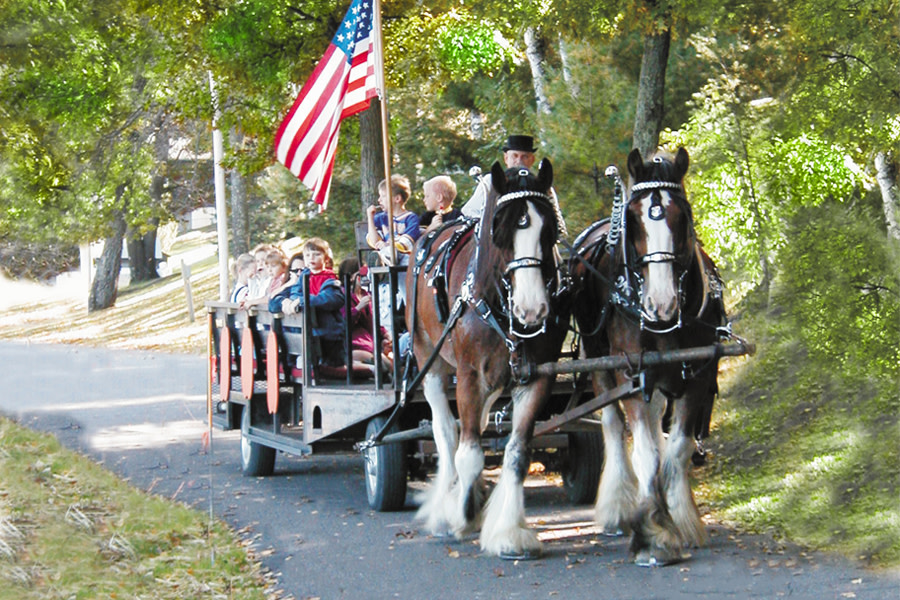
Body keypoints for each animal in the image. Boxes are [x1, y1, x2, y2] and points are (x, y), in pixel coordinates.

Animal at [408, 159, 568, 556]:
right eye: (501, 229)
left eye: (550, 229)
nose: (532, 309)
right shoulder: (469, 375)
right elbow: (467, 450)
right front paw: (460, 516)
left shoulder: (536, 376)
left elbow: (517, 452)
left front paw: (509, 532)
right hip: (429, 361)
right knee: (445, 430)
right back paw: (447, 500)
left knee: (475, 425)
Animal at [572, 148, 728, 564]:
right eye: (632, 219)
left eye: (683, 215)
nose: (660, 304)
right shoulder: (630, 373)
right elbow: (645, 451)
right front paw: (654, 533)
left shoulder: (698, 375)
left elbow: (677, 451)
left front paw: (680, 519)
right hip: (600, 365)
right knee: (612, 426)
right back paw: (618, 508)